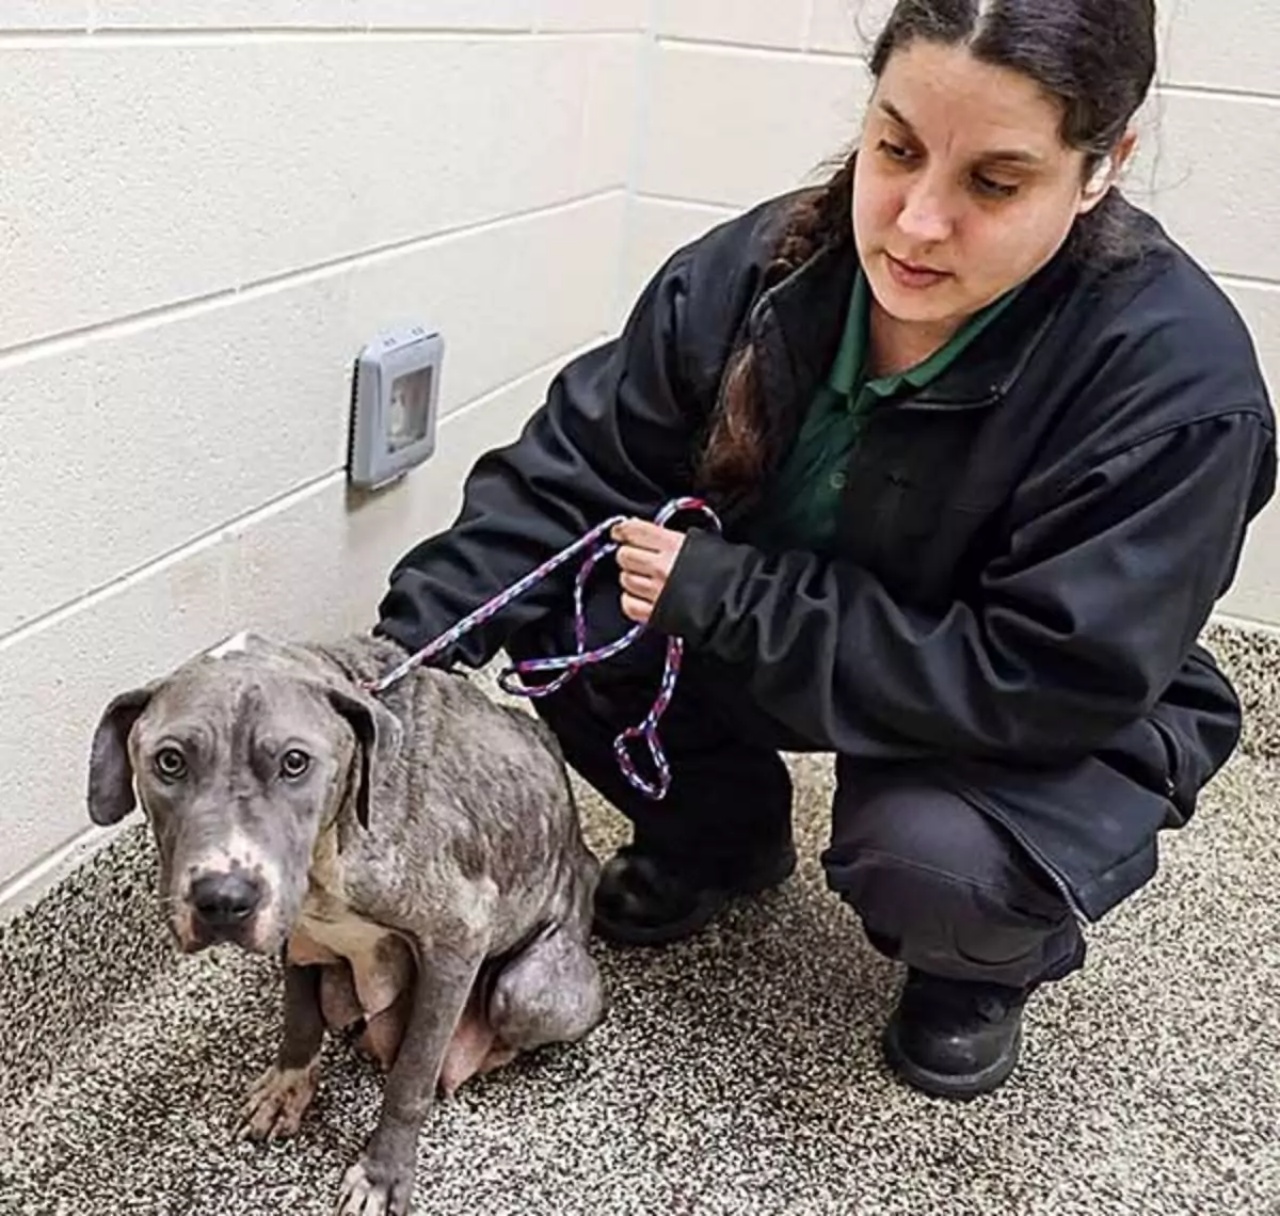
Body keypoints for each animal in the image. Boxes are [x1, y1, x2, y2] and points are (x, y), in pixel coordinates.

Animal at [87, 627, 606, 1216]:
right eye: (170, 761)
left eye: (295, 762)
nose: (223, 899)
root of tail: (582, 858)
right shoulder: (296, 934)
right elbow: (299, 1016)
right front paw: (287, 1089)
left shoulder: (458, 940)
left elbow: (410, 1079)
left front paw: (382, 1176)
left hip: (528, 992)